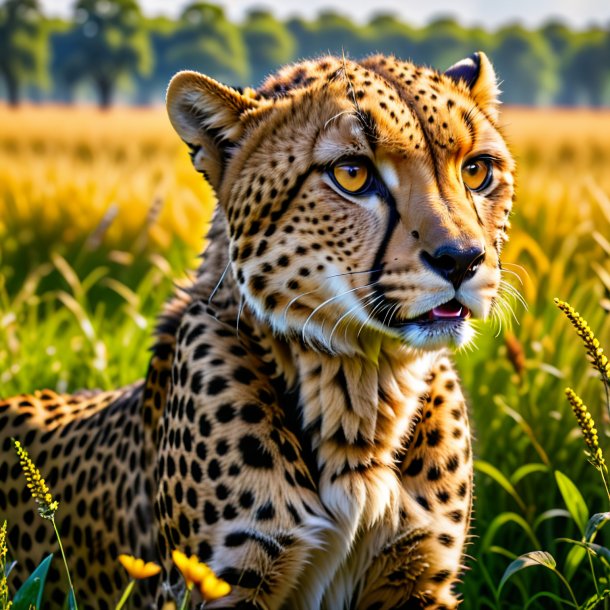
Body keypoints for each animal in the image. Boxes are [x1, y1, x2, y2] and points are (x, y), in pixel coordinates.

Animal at [1, 53, 512, 608]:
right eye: (352, 174)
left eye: (476, 170)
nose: (462, 259)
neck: (362, 392)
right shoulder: (213, 586)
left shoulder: (419, 581)